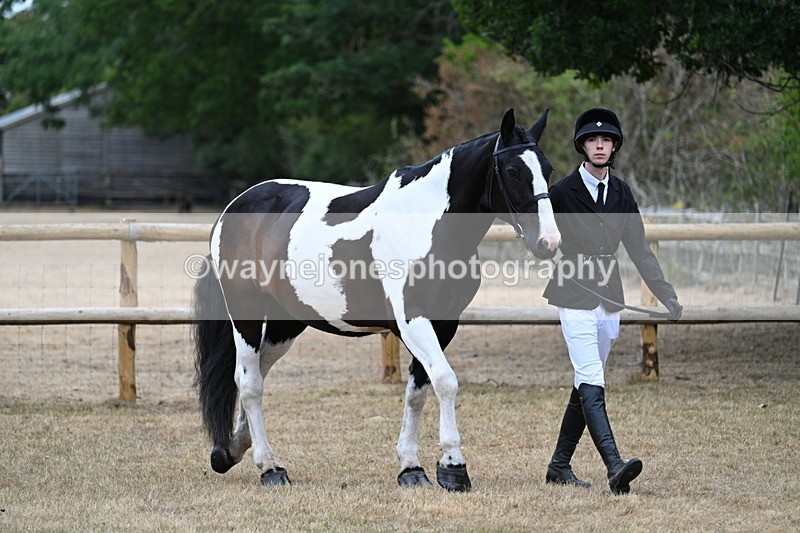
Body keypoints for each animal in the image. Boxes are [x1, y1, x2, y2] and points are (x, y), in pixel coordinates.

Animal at [193, 108, 561, 492]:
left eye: (547, 169)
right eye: (513, 171)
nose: (548, 242)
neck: (429, 224)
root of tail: (233, 208)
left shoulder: (444, 323)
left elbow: (418, 391)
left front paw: (411, 468)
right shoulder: (412, 320)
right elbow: (445, 381)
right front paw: (453, 466)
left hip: (287, 323)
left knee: (257, 374)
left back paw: (231, 449)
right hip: (245, 313)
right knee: (249, 384)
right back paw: (269, 467)